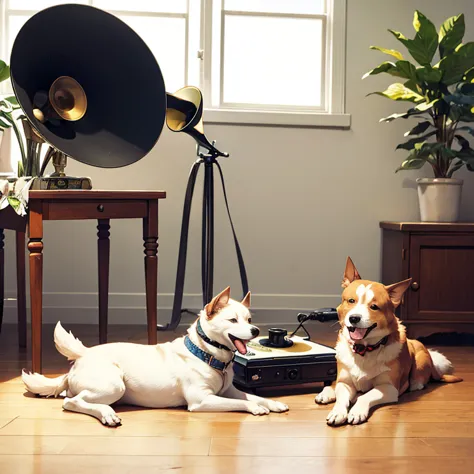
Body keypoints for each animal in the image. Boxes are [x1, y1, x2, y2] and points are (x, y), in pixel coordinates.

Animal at [21, 286, 288, 428]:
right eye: (233, 320)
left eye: (249, 320)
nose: (255, 331)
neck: (207, 355)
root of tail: (81, 357)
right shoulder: (202, 401)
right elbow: (243, 402)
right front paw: (256, 408)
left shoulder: (228, 391)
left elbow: (252, 395)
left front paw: (271, 403)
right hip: (113, 384)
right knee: (72, 402)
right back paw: (106, 413)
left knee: (72, 397)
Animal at [316, 258, 462, 428]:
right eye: (351, 301)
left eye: (374, 307)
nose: (354, 318)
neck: (365, 349)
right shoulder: (344, 383)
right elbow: (342, 397)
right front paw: (338, 411)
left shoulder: (389, 388)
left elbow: (365, 396)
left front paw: (357, 411)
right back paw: (327, 394)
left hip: (419, 356)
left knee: (418, 380)